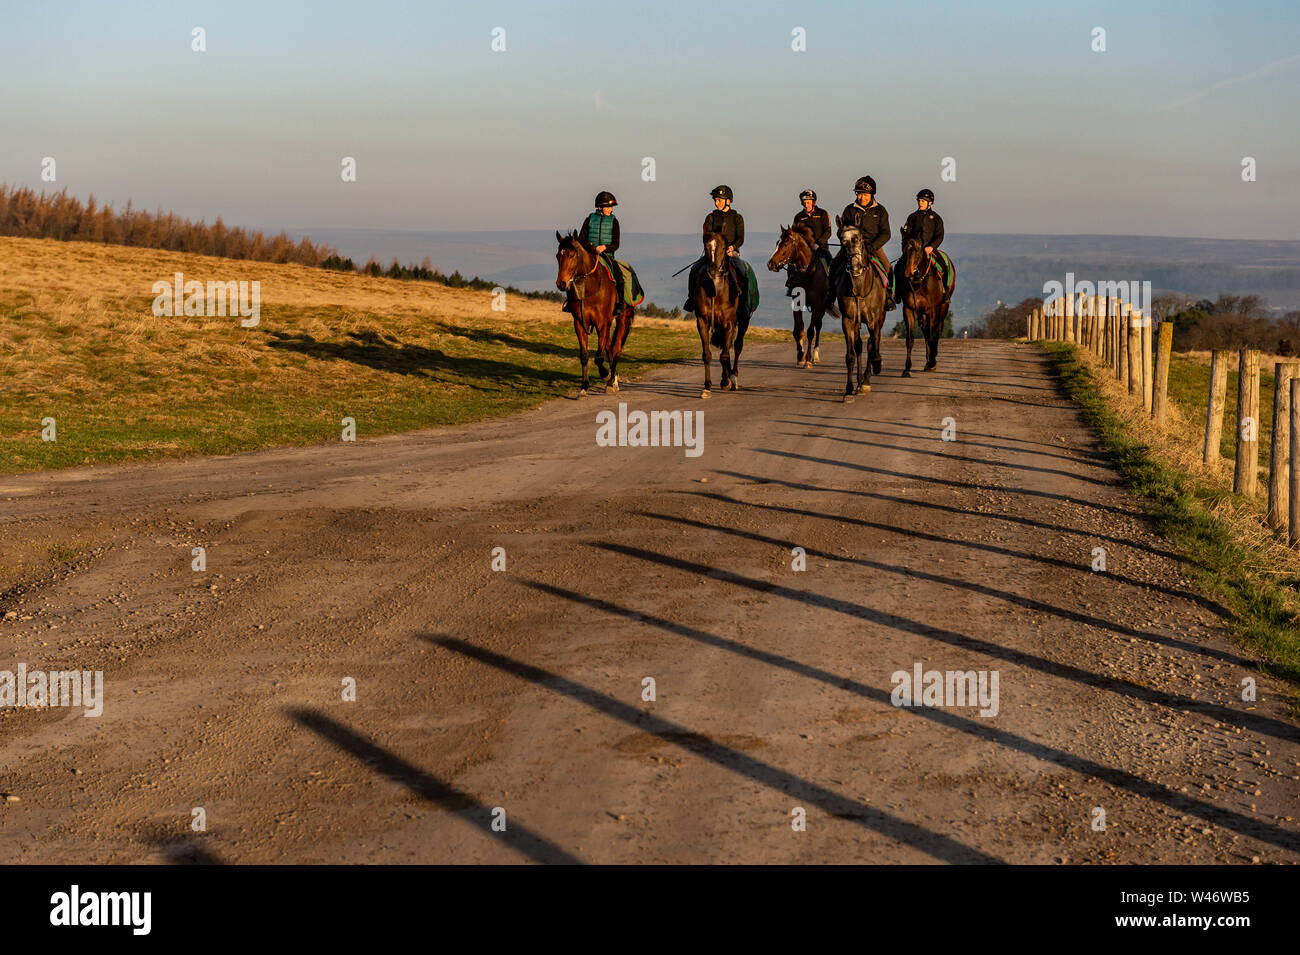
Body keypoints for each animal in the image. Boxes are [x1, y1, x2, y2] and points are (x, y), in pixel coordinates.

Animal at [551, 229, 631, 397]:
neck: (588, 288)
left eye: (572, 255)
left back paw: (612, 382)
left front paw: (605, 375)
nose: (561, 284)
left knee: (615, 349)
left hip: (622, 319)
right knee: (610, 348)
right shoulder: (580, 324)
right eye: (557, 256)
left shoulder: (602, 324)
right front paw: (584, 388)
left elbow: (599, 358)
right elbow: (585, 355)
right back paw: (613, 379)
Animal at [691, 229, 754, 397]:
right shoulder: (702, 321)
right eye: (706, 246)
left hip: (744, 320)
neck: (716, 289)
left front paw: (726, 382)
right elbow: (707, 355)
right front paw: (707, 387)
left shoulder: (729, 323)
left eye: (723, 247)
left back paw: (733, 378)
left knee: (737, 346)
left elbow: (725, 355)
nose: (713, 270)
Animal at [759, 226, 832, 369]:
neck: (807, 273)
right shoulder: (796, 303)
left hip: (822, 308)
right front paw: (800, 356)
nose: (771, 264)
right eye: (777, 242)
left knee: (818, 326)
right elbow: (798, 330)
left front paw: (808, 359)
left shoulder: (817, 305)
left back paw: (815, 356)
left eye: (786, 244)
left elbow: (810, 332)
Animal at [837, 220, 889, 402]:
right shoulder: (848, 321)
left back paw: (867, 378)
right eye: (842, 240)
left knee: (872, 343)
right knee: (859, 346)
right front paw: (848, 390)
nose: (855, 265)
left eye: (859, 237)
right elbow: (851, 355)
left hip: (880, 318)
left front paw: (874, 369)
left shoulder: (873, 321)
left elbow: (872, 348)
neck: (859, 289)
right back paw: (859, 383)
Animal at [899, 233, 951, 374]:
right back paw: (928, 360)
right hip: (922, 313)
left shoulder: (933, 310)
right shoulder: (908, 309)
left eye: (917, 249)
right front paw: (907, 368)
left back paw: (932, 360)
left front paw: (932, 363)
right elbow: (910, 339)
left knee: (935, 332)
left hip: (942, 310)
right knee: (926, 333)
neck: (919, 282)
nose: (907, 272)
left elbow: (933, 335)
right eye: (903, 247)